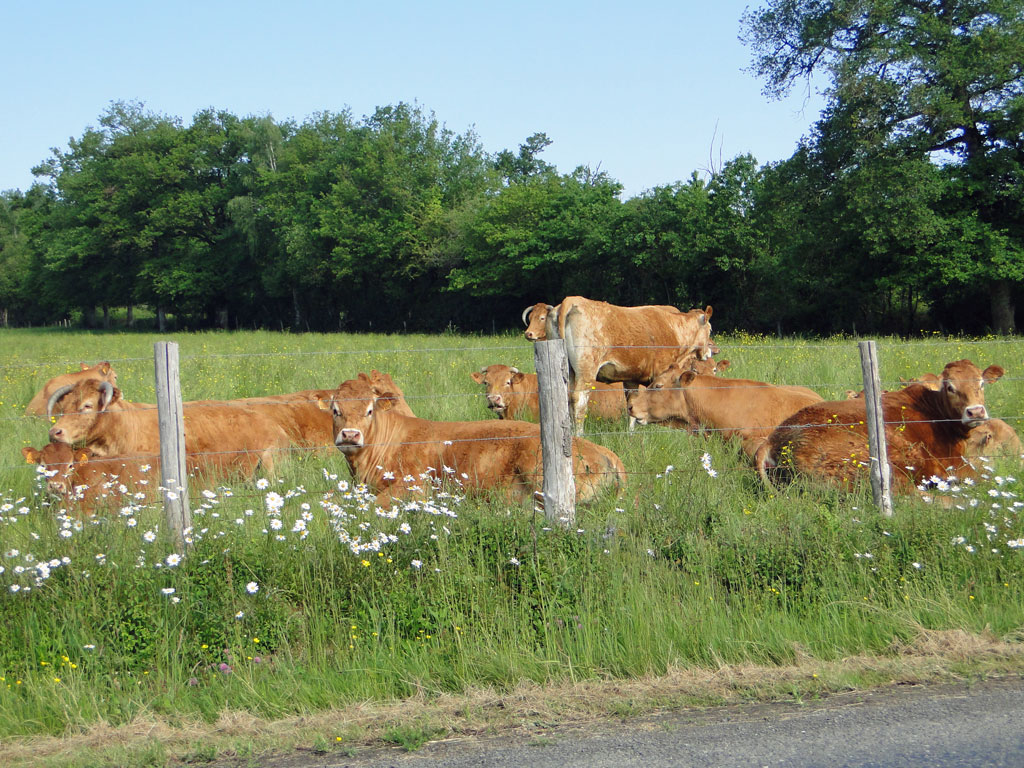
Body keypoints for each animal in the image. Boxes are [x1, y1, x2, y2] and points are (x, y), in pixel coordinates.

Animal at [757, 360, 1003, 493]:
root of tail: (775, 437)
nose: (975, 411)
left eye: (981, 383)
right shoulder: (955, 464)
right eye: (950, 387)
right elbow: (983, 476)